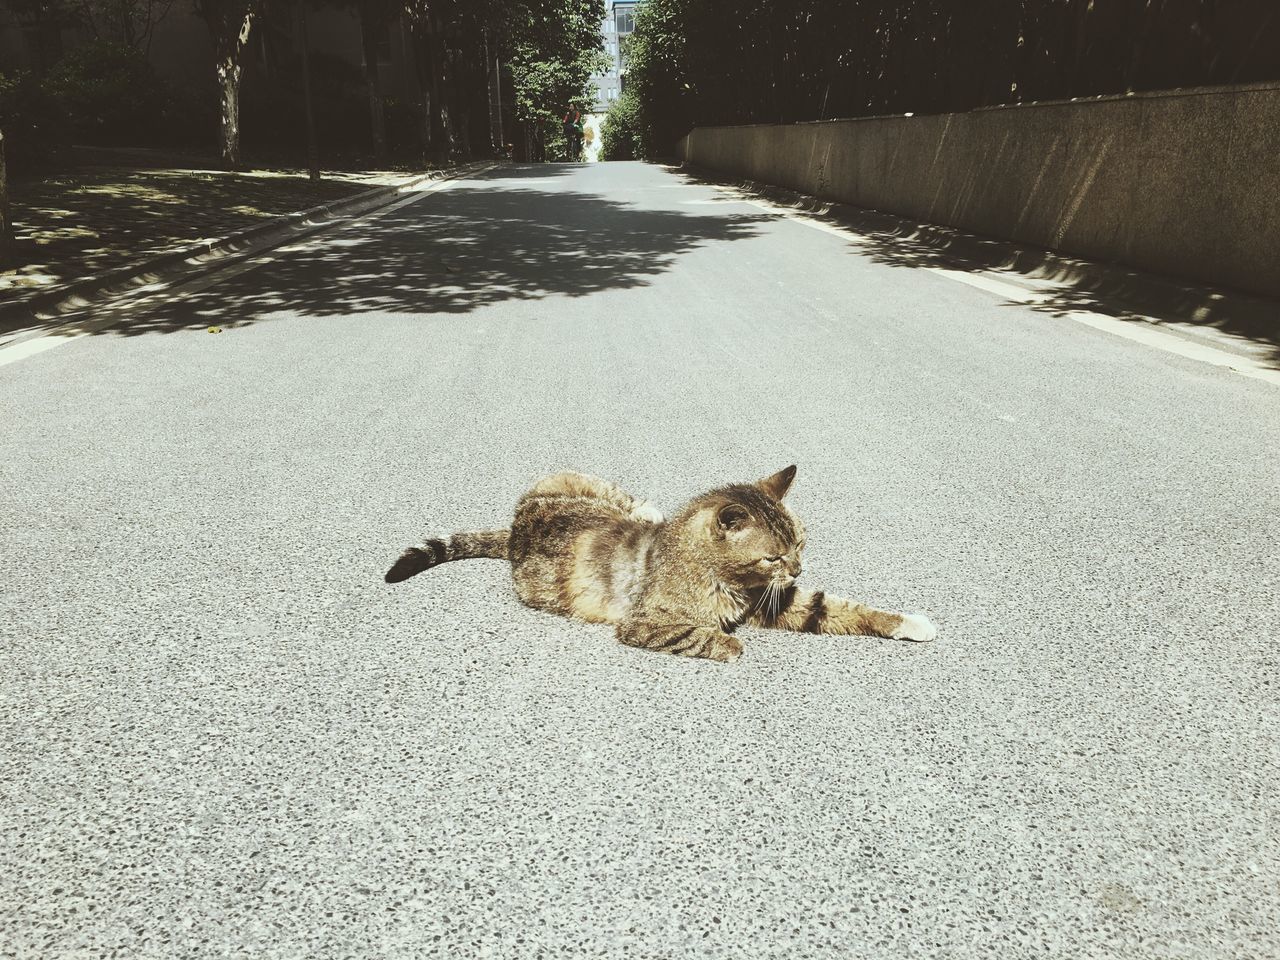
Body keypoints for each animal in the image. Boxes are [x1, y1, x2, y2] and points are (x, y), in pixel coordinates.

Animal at [384, 468, 936, 665]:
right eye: (775, 555)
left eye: (801, 544)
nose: (797, 570)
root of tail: (517, 529)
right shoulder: (644, 623)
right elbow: (697, 634)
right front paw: (728, 643)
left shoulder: (775, 599)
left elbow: (840, 608)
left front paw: (910, 623)